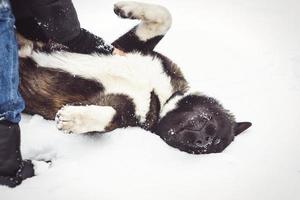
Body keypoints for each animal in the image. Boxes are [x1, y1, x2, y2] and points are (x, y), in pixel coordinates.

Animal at [17, 1, 252, 154]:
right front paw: (125, 8)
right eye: (211, 120)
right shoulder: (128, 47)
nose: (204, 140)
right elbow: (164, 16)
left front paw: (73, 119)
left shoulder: (124, 111)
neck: (161, 97)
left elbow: (109, 117)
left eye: (214, 144)